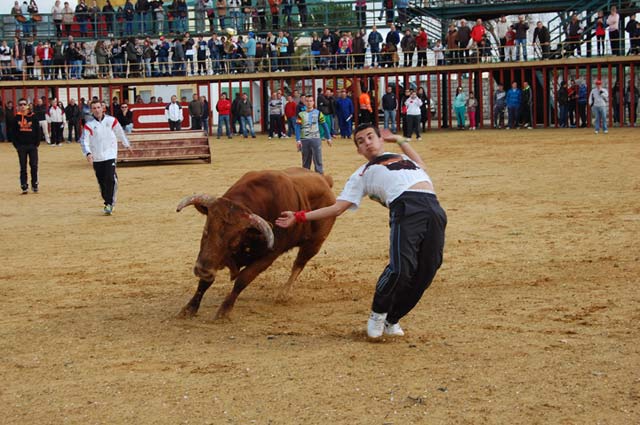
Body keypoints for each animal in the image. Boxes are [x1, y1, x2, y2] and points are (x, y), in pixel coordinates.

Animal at [175, 167, 336, 316]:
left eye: (233, 241)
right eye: (206, 231)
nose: (202, 270)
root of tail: (325, 180)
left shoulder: (268, 257)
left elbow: (243, 279)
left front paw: (224, 310)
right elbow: (205, 282)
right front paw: (189, 308)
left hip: (314, 244)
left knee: (298, 264)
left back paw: (282, 295)